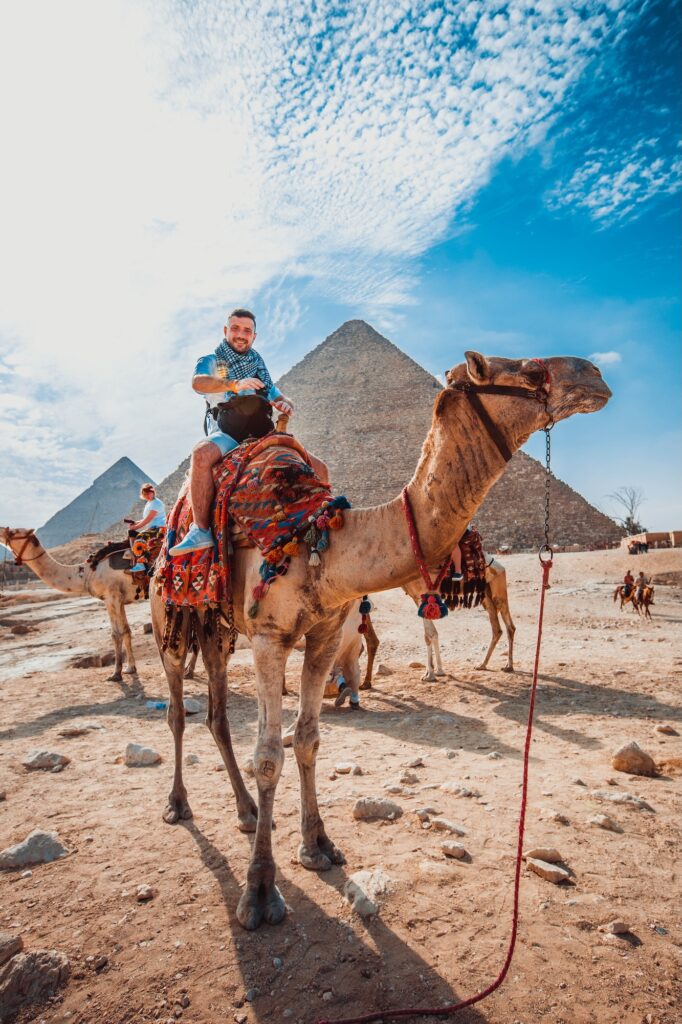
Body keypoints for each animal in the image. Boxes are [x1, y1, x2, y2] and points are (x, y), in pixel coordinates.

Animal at [0, 527, 199, 682]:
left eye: (14, 531)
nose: (2, 529)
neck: (86, 572)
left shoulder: (111, 598)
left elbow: (116, 634)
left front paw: (116, 674)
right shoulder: (118, 599)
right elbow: (126, 632)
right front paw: (130, 669)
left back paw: (188, 671)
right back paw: (188, 670)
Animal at [150, 350, 611, 930]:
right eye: (527, 370)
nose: (594, 374)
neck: (321, 538)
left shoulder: (324, 635)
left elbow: (307, 740)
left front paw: (318, 847)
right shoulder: (270, 638)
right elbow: (270, 756)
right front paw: (259, 892)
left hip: (218, 631)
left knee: (215, 715)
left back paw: (247, 811)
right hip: (170, 619)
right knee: (176, 710)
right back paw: (178, 804)